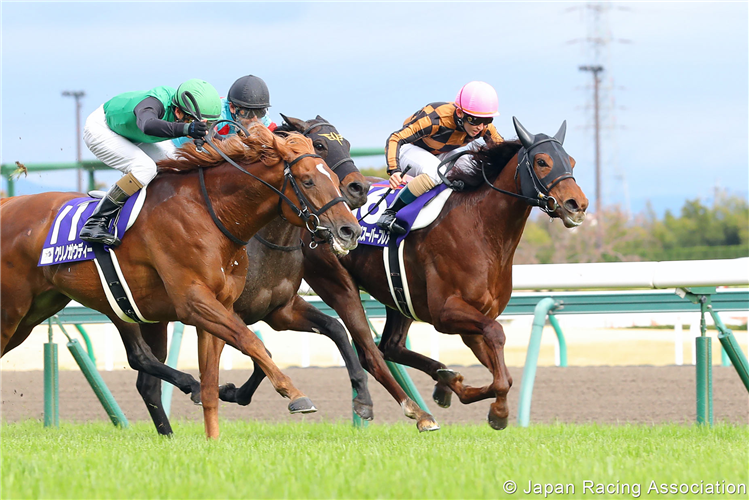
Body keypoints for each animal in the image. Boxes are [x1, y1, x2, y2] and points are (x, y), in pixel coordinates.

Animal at [0, 125, 362, 438]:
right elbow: (253, 343)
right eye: (308, 180)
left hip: (45, 311)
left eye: (332, 178)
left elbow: (215, 376)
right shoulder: (195, 303)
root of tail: (8, 204)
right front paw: (295, 394)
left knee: (142, 366)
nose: (350, 230)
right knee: (140, 360)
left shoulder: (221, 306)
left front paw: (212, 437)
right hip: (16, 310)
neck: (211, 214)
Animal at [300, 117, 592, 430]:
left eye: (571, 161)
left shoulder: (475, 317)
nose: (578, 205)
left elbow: (502, 372)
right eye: (542, 161)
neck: (480, 227)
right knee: (371, 351)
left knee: (390, 345)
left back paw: (442, 379)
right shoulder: (445, 312)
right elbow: (498, 339)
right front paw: (498, 412)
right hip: (338, 284)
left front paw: (457, 388)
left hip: (399, 296)